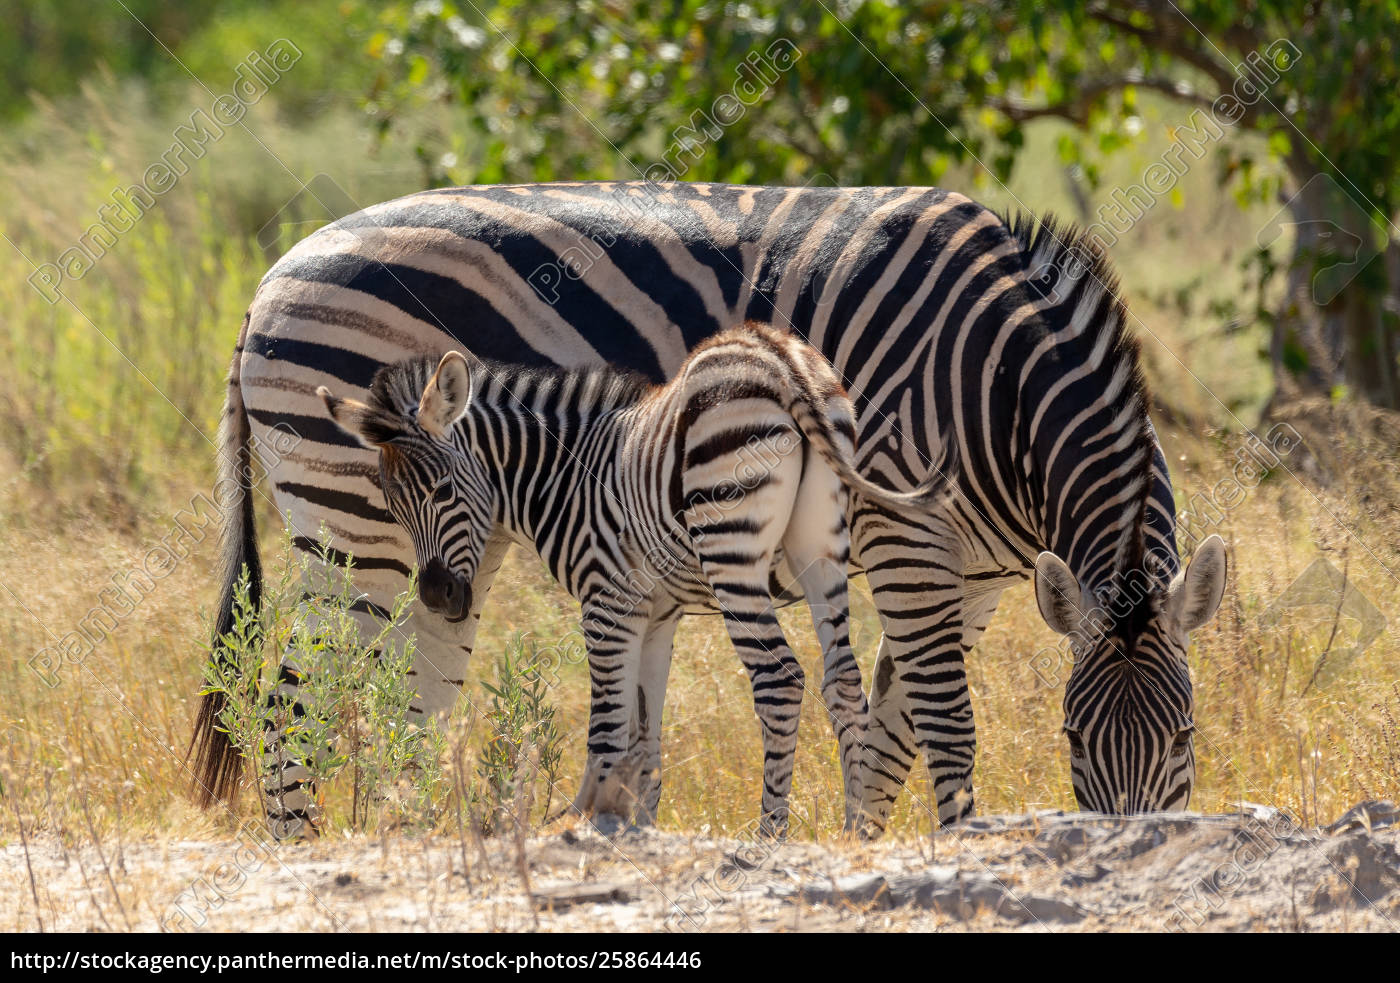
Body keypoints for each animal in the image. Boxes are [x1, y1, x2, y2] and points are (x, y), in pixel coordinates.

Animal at [320, 322, 940, 828]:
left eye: (444, 491)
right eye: (394, 505)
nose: (437, 596)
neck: (562, 476)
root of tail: (778, 357)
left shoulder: (607, 601)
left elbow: (608, 732)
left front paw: (586, 823)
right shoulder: (656, 615)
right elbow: (644, 736)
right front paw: (635, 826)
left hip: (732, 548)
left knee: (780, 680)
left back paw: (766, 841)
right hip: (820, 547)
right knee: (843, 682)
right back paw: (853, 830)